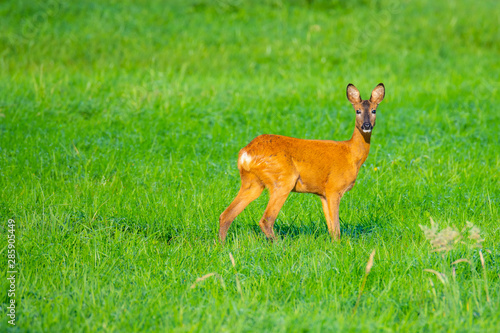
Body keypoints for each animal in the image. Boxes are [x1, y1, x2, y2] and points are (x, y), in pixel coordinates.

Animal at [219, 83, 386, 241]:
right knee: (266, 220)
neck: (351, 154)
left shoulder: (323, 193)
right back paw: (280, 246)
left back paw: (221, 245)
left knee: (226, 215)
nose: (366, 125)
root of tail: (245, 153)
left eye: (374, 110)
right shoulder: (334, 188)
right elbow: (336, 229)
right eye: (358, 111)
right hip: (282, 179)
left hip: (252, 182)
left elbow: (331, 228)